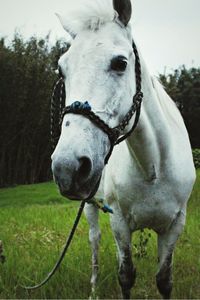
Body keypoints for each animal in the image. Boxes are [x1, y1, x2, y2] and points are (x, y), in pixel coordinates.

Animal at [51, 0, 195, 298]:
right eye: (61, 70)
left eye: (120, 63)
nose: (67, 167)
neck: (153, 167)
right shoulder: (118, 222)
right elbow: (126, 276)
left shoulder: (176, 224)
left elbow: (164, 279)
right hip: (90, 205)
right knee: (94, 241)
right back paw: (94, 289)